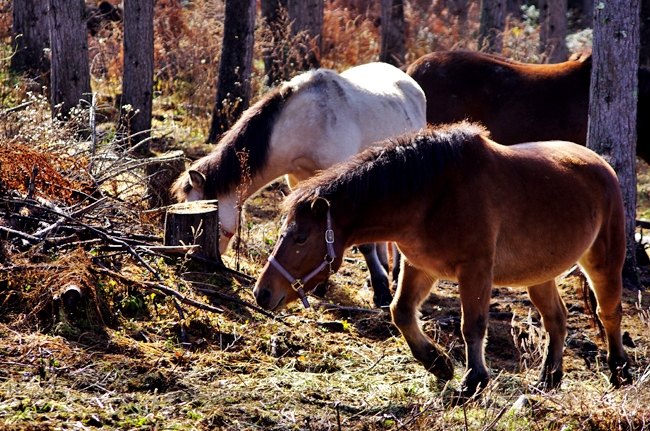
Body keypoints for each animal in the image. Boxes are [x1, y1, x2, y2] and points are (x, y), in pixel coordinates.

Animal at [172, 62, 426, 308]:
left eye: (207, 222)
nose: (194, 258)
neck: (306, 124)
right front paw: (321, 285)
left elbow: (364, 245)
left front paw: (381, 291)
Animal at [252, 121, 628, 398]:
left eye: (301, 237)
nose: (262, 293)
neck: (432, 194)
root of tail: (601, 165)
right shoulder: (419, 267)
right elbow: (401, 312)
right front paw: (438, 363)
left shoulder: (474, 270)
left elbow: (472, 325)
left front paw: (473, 381)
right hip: (538, 275)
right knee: (557, 319)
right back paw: (549, 378)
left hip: (603, 262)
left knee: (608, 313)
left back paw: (619, 371)